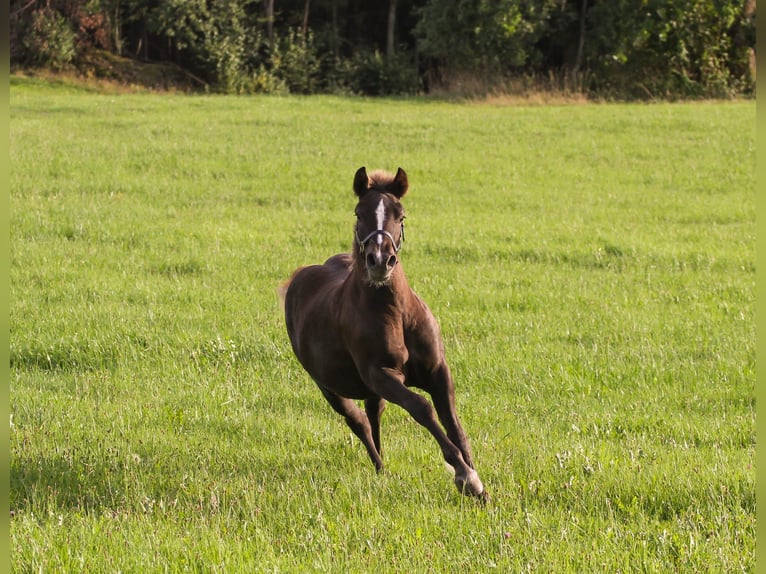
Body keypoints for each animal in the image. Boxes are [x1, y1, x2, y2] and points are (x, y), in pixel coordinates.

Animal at [280, 167, 486, 499]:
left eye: (400, 215)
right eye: (359, 212)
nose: (379, 260)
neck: (396, 312)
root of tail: (298, 277)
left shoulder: (437, 371)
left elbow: (453, 421)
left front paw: (479, 482)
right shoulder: (380, 374)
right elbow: (423, 408)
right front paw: (465, 476)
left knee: (373, 415)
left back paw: (383, 468)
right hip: (329, 387)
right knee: (359, 422)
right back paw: (379, 467)